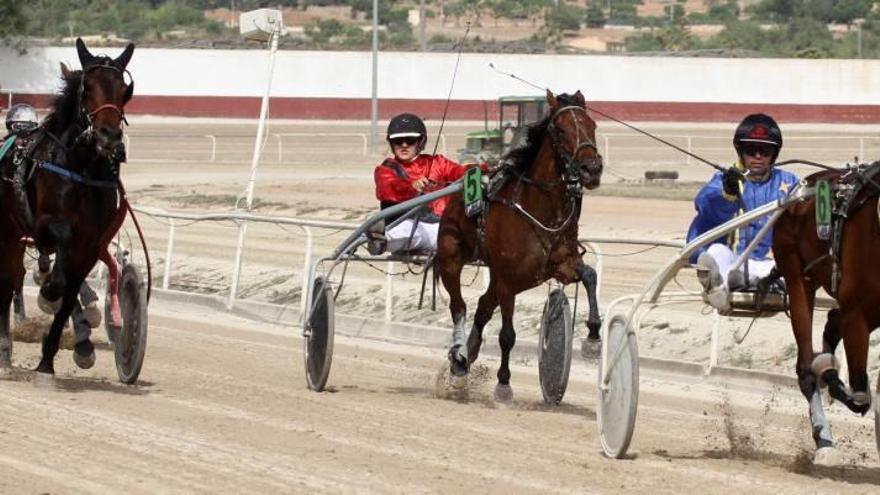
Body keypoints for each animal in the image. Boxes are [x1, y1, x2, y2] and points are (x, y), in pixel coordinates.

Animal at [0, 39, 134, 376]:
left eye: (123, 89)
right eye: (87, 88)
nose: (108, 136)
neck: (81, 168)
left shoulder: (91, 244)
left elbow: (70, 293)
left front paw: (48, 361)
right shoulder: (44, 224)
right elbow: (58, 269)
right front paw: (49, 293)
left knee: (10, 279)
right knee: (7, 281)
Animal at [436, 90, 600, 404]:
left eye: (592, 125)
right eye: (561, 129)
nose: (592, 168)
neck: (540, 208)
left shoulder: (560, 265)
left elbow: (589, 276)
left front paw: (594, 339)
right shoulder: (509, 282)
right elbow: (507, 336)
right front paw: (503, 385)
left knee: (482, 307)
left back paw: (466, 355)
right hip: (451, 256)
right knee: (459, 306)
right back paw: (459, 358)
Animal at [776, 165, 880, 460]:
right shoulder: (857, 312)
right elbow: (860, 394)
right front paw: (832, 375)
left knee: (833, 323)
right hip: (798, 277)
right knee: (805, 369)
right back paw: (823, 437)